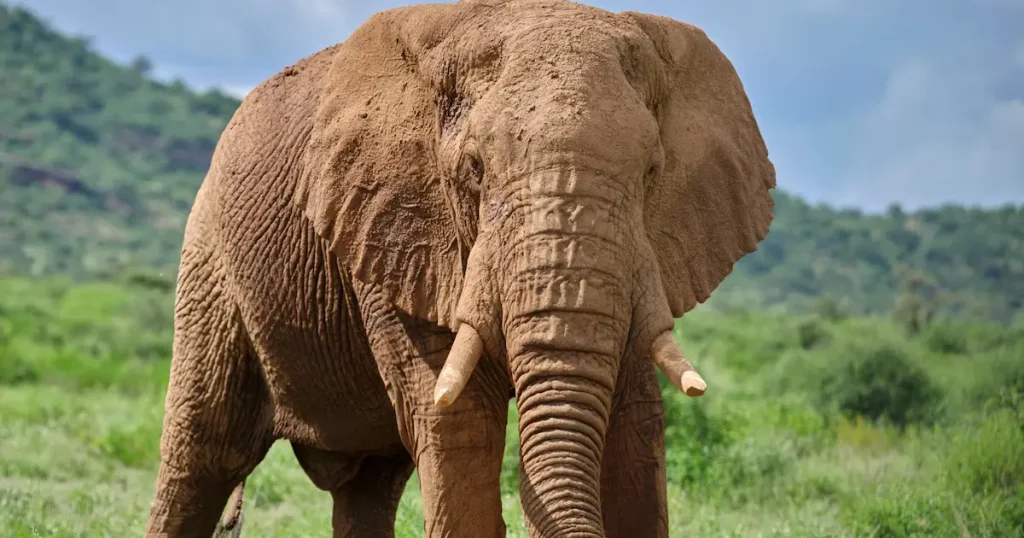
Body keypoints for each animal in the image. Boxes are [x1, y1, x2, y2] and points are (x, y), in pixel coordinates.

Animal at [144, 0, 775, 537]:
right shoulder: (396, 235)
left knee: (368, 484)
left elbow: (636, 426)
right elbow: (460, 426)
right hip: (210, 259)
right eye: (474, 170)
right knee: (202, 456)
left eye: (651, 173)